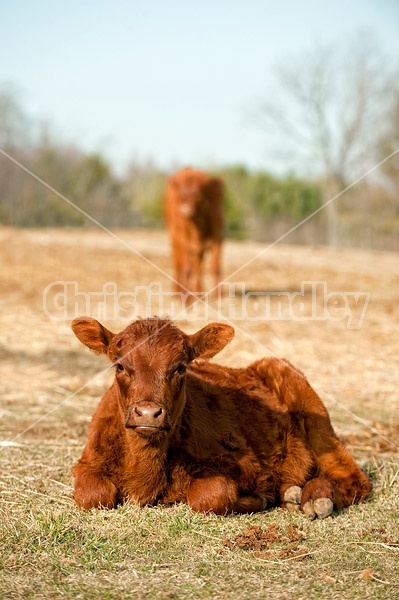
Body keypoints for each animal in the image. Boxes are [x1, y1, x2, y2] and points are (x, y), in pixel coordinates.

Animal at [71, 316, 372, 516]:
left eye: (181, 367)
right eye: (120, 366)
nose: (147, 413)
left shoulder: (250, 466)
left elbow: (209, 495)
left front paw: (257, 501)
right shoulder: (88, 462)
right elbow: (92, 495)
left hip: (318, 424)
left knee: (352, 478)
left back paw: (315, 498)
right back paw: (292, 495)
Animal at [163, 165, 223, 296]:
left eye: (197, 195)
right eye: (180, 195)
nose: (185, 210)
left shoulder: (218, 237)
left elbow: (215, 267)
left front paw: (219, 295)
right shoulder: (183, 240)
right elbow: (187, 268)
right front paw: (186, 297)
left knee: (197, 265)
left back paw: (198, 291)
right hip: (175, 238)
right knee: (178, 264)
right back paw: (179, 291)